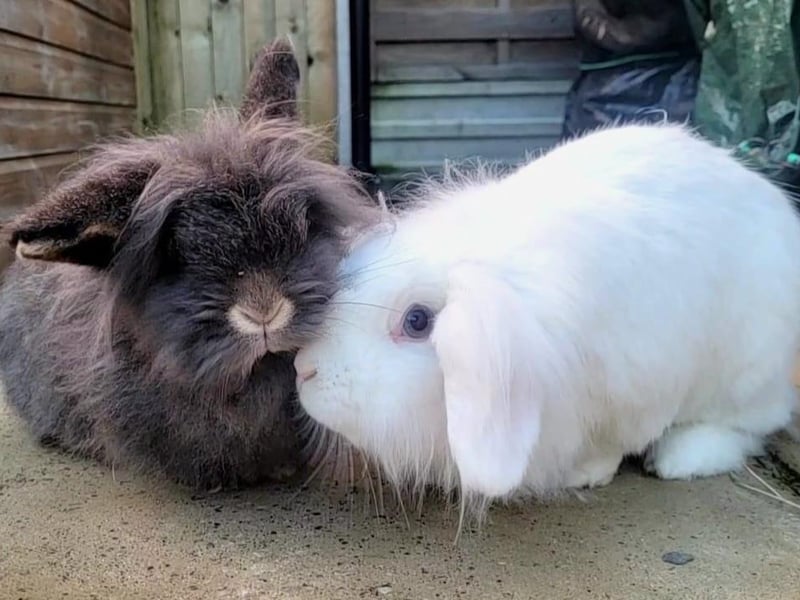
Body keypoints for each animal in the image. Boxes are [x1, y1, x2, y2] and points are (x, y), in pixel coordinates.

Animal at [293, 123, 800, 504]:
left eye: (417, 322)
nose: (303, 369)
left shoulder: (639, 393)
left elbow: (611, 445)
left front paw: (584, 474)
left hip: (746, 373)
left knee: (748, 424)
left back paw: (679, 460)